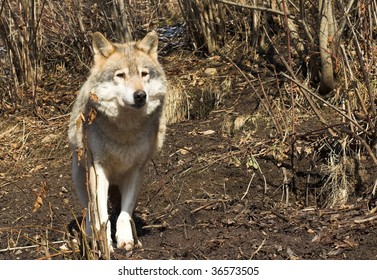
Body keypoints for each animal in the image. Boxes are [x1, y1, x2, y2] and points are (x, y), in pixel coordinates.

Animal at [67, 30, 166, 252]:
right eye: (120, 75)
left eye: (143, 74)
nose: (140, 95)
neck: (125, 130)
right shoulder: (98, 169)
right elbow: (101, 215)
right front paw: (104, 244)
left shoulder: (136, 171)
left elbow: (123, 214)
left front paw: (126, 240)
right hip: (80, 177)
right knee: (89, 210)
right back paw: (89, 236)